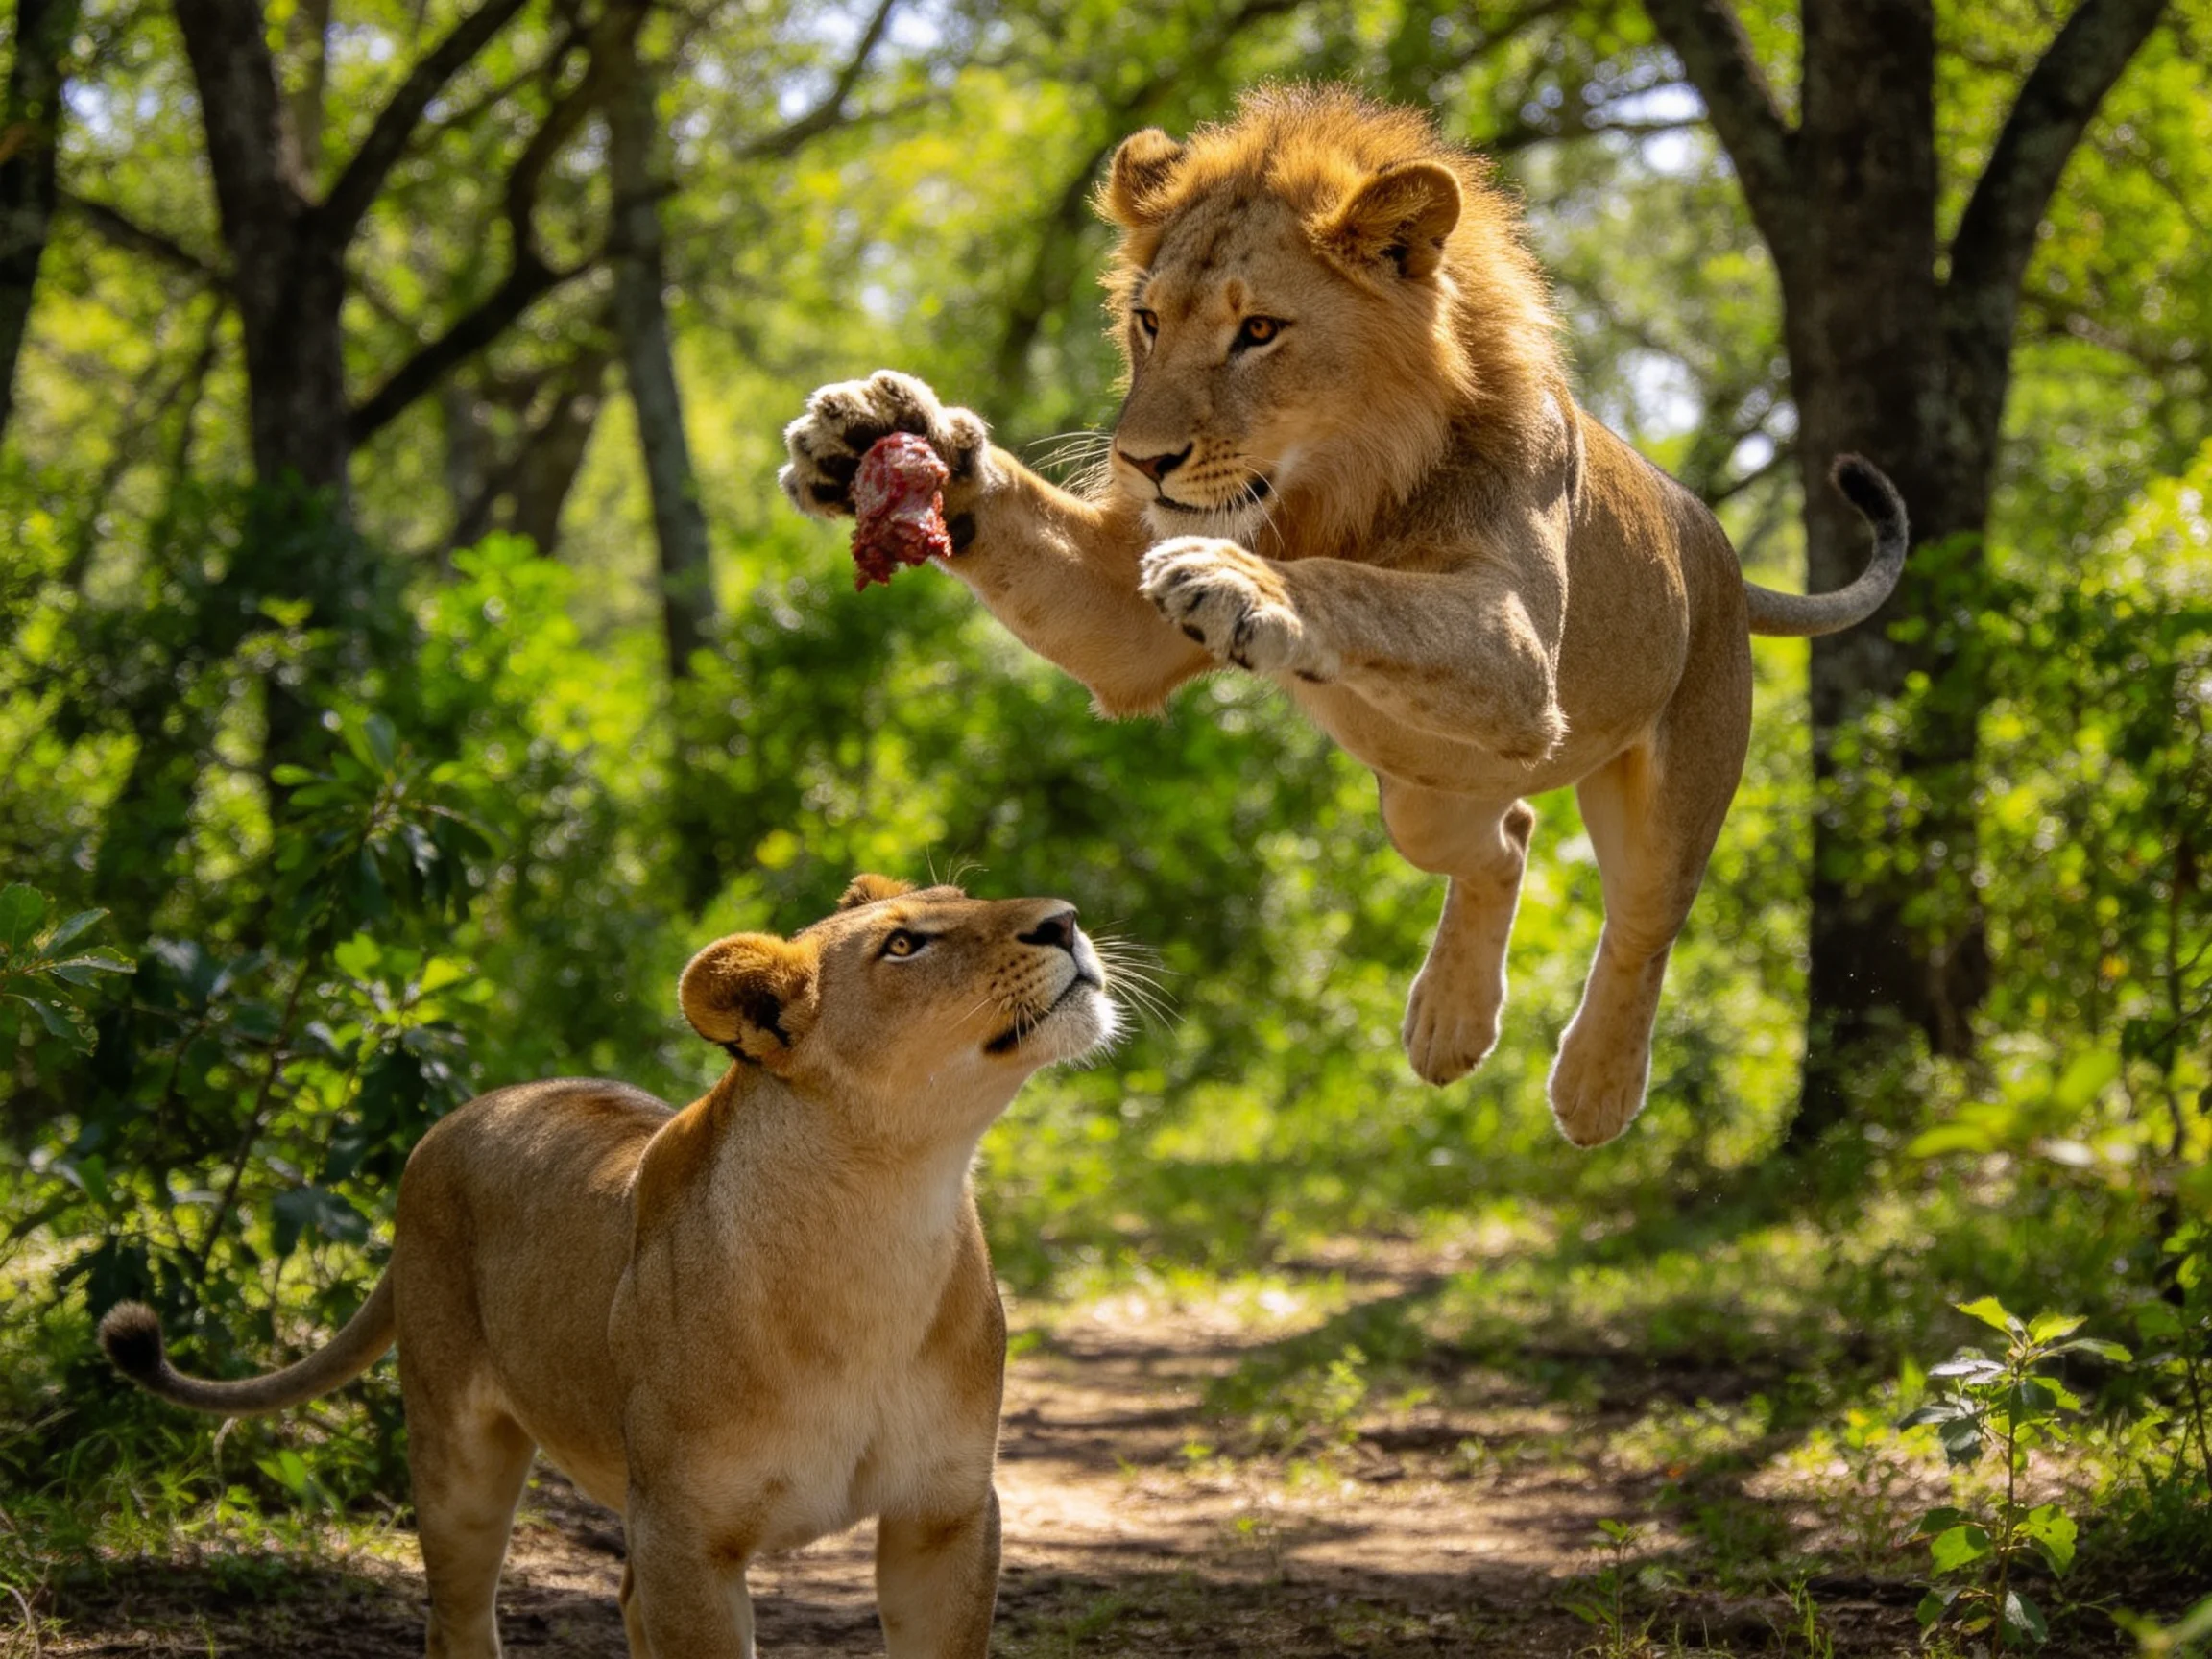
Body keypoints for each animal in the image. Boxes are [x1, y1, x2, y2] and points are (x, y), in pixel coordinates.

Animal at [99, 875, 1117, 1659]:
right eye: (904, 945)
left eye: (962, 899)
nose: (1066, 919)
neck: (890, 1210)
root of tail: (461, 1116)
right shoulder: (688, 1539)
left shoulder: (945, 1517)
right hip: (459, 1453)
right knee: (457, 1617)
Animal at [779, 85, 1905, 1149]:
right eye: (1150, 322)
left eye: (1259, 331)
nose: (1143, 462)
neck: (1338, 484)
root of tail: (1717, 542)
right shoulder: (1128, 626)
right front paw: (880, 436)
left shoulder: (1517, 650)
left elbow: (1362, 589)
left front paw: (1248, 588)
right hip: (1423, 799)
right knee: (1507, 839)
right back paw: (1451, 1024)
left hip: (1669, 785)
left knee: (1643, 924)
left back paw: (1595, 1089)